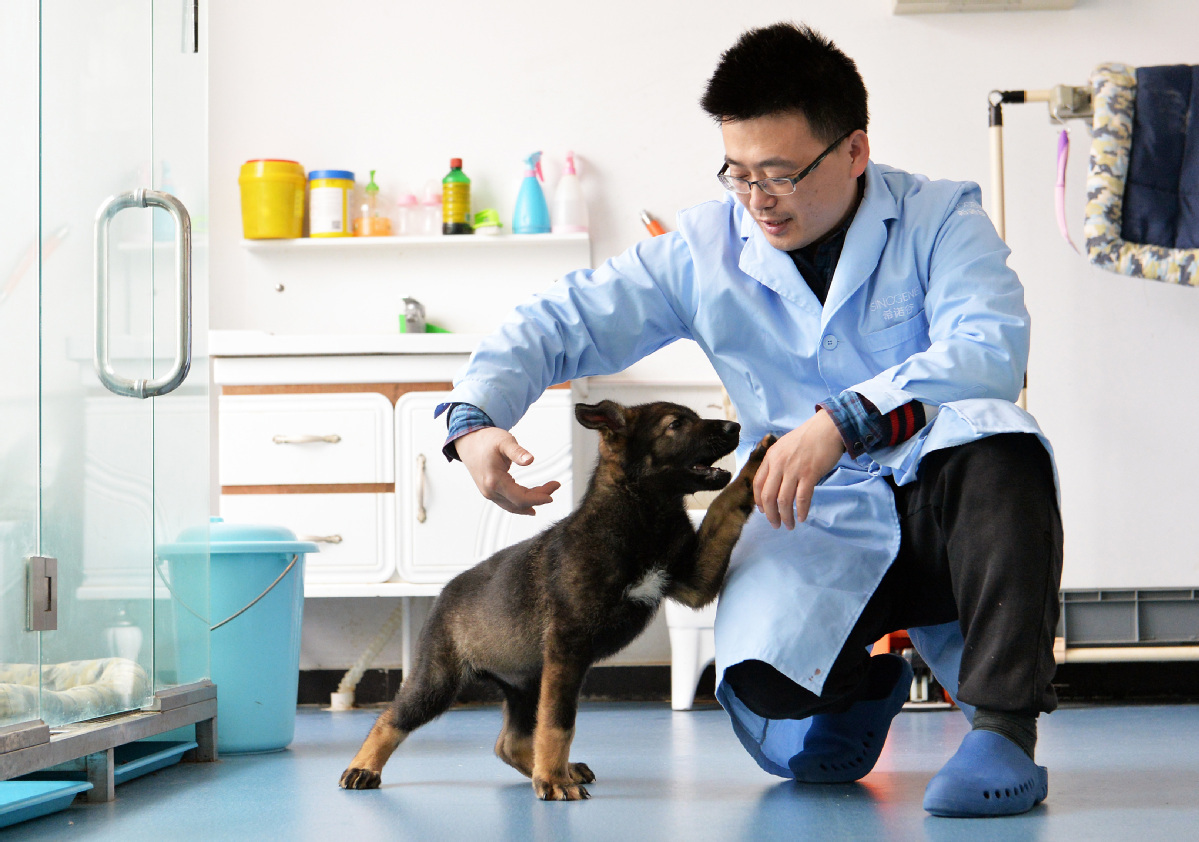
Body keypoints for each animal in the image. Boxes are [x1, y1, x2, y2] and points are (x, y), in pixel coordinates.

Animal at [340, 403, 767, 806]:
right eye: (676, 424)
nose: (735, 428)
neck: (642, 511)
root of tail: (445, 592)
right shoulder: (568, 646)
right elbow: (559, 723)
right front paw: (553, 782)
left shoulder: (694, 584)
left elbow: (724, 506)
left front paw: (756, 465)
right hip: (440, 680)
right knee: (392, 717)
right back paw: (363, 768)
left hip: (525, 683)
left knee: (508, 743)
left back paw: (558, 769)